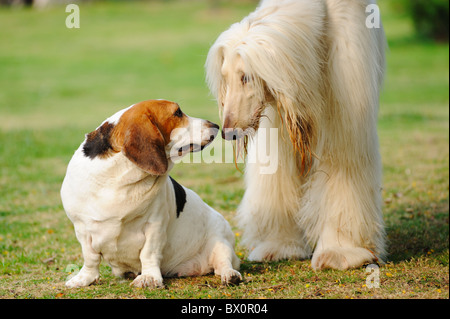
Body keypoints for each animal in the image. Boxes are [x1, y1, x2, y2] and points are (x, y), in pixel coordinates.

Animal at [62, 100, 243, 290]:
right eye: (178, 112)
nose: (215, 125)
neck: (121, 174)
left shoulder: (155, 225)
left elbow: (148, 253)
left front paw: (149, 277)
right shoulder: (82, 228)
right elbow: (91, 258)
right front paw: (86, 278)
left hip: (221, 242)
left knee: (223, 264)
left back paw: (230, 275)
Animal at [206, 0, 384, 270]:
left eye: (246, 76)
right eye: (225, 77)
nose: (228, 132)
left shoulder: (345, 93)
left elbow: (343, 164)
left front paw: (341, 252)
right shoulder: (279, 112)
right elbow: (277, 172)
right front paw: (279, 245)